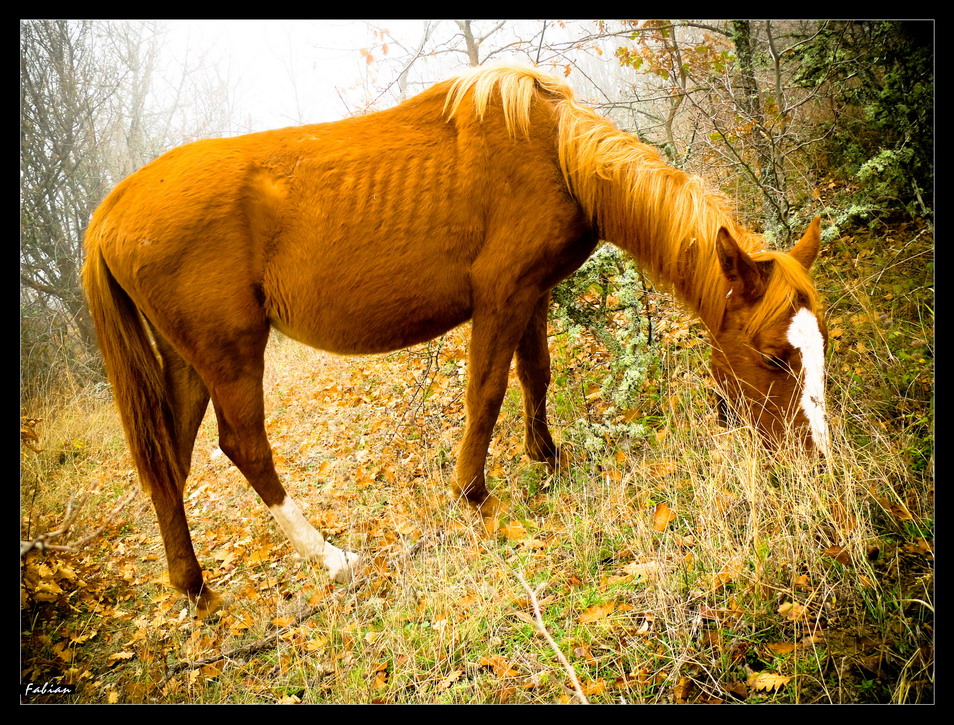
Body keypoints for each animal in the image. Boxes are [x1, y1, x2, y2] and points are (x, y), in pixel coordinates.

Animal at [82, 65, 824, 612]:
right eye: (772, 357)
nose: (814, 462)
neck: (554, 151)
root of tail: (110, 209)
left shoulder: (531, 294)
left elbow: (535, 374)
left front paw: (547, 458)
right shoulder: (500, 296)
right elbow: (487, 392)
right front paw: (474, 492)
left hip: (187, 363)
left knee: (168, 463)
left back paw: (194, 586)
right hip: (229, 353)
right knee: (245, 449)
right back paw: (331, 557)